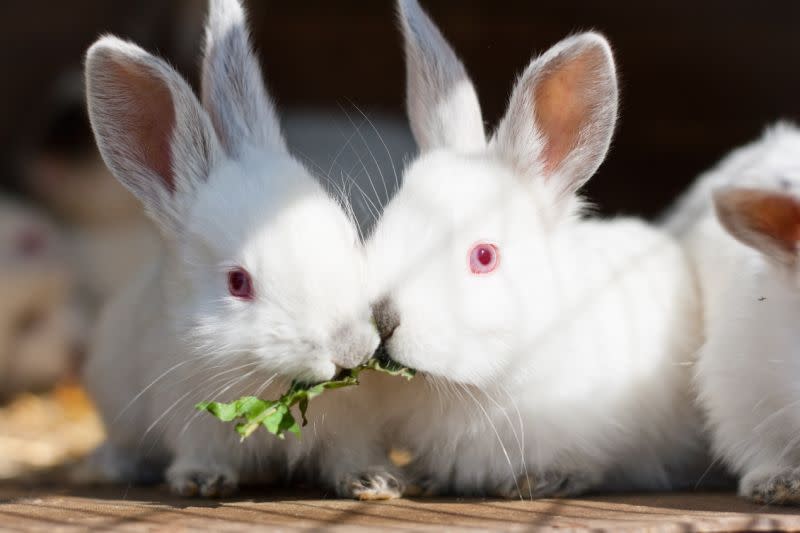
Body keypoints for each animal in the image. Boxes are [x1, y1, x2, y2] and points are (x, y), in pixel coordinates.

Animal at [80, 0, 378, 496]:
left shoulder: (351, 428)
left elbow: (349, 455)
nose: (350, 348)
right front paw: (201, 481)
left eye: (348, 240)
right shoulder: (191, 419)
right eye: (238, 283)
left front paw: (373, 481)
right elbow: (200, 453)